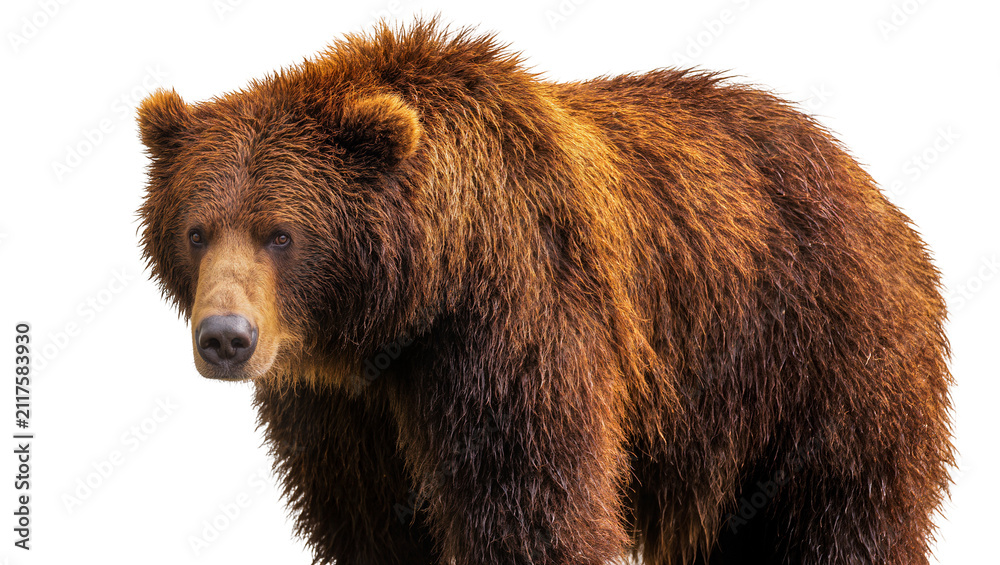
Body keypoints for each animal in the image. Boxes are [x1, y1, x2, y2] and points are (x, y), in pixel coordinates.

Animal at [137, 20, 953, 565]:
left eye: (281, 233)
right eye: (197, 230)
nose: (226, 338)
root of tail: (868, 184)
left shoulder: (515, 322)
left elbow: (529, 504)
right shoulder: (337, 400)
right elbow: (369, 518)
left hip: (814, 350)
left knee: (840, 511)